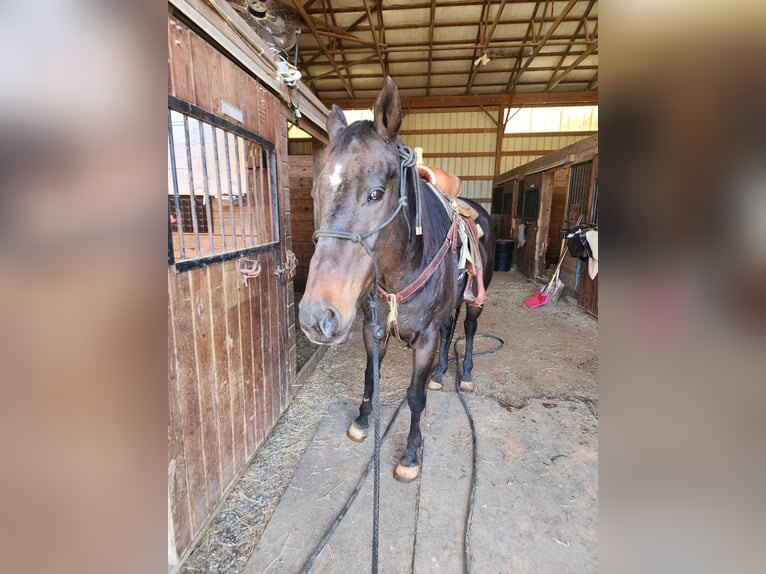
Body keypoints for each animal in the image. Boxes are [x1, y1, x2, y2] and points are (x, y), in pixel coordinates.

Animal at [296, 75, 496, 482]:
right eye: (316, 191)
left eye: (375, 194)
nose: (317, 317)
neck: (403, 266)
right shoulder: (372, 329)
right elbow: (370, 378)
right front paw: (361, 421)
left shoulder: (425, 338)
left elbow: (414, 397)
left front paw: (410, 455)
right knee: (450, 330)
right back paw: (441, 373)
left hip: (473, 302)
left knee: (467, 330)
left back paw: (464, 374)